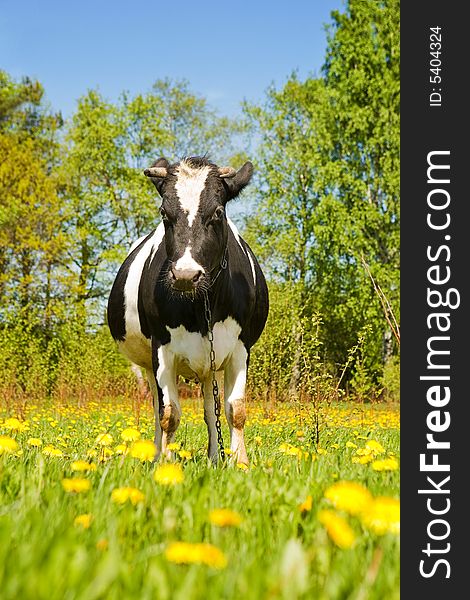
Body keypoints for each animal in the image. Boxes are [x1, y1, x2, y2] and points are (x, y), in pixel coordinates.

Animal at [107, 155, 268, 464]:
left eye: (218, 212)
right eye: (164, 213)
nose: (185, 275)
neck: (203, 307)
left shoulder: (241, 347)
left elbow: (235, 410)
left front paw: (240, 462)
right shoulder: (161, 348)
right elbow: (169, 414)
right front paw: (165, 464)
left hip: (212, 365)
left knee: (211, 410)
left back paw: (215, 457)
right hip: (149, 364)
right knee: (158, 409)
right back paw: (158, 452)